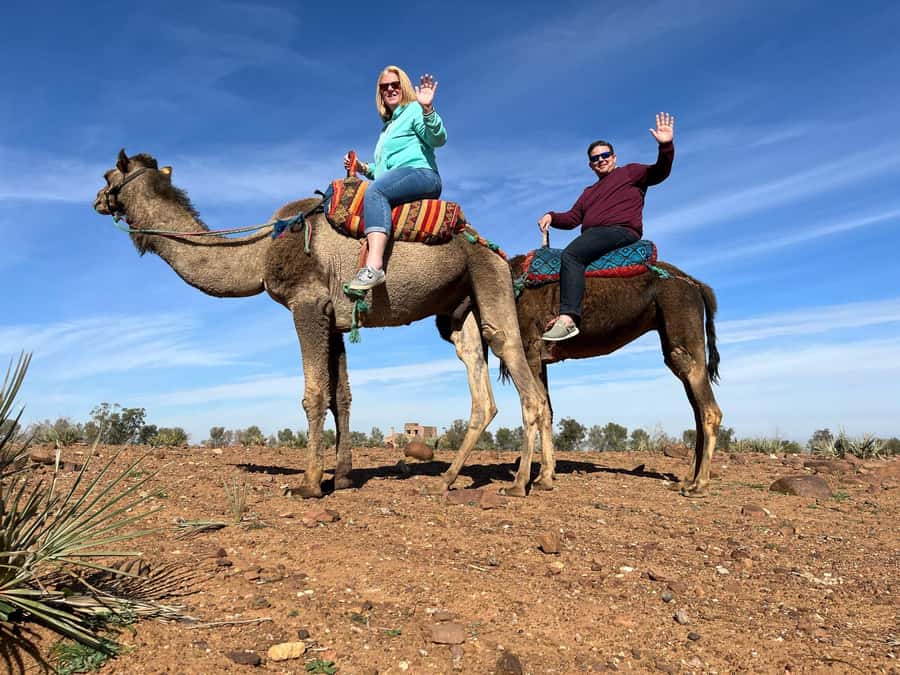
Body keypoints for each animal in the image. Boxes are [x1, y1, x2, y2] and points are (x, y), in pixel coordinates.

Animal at [93, 150, 555, 498]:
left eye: (107, 174)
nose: (97, 199)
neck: (260, 253)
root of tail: (492, 245)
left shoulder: (307, 304)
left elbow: (314, 395)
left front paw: (309, 484)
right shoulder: (334, 318)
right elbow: (342, 396)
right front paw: (344, 477)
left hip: (489, 281)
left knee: (523, 379)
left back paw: (519, 484)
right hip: (459, 309)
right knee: (480, 382)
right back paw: (448, 478)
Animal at [437, 246, 723, 496]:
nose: (444, 326)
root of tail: (698, 285)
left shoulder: (530, 347)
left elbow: (534, 406)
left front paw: (518, 485)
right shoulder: (542, 357)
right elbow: (547, 411)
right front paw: (545, 478)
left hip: (682, 326)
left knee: (709, 410)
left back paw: (699, 486)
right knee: (696, 408)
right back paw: (686, 480)